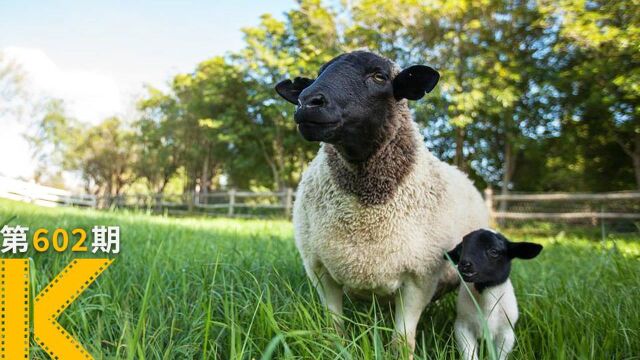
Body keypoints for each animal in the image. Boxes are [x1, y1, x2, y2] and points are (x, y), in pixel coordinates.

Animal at [272, 51, 488, 354]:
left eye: (379, 76)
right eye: (318, 74)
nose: (307, 102)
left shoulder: (420, 277)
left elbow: (402, 340)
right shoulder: (321, 271)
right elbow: (334, 328)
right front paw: (337, 346)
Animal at [448, 229, 544, 358]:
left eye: (494, 251)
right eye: (460, 250)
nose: (464, 264)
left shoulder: (506, 333)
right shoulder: (463, 327)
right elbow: (469, 353)